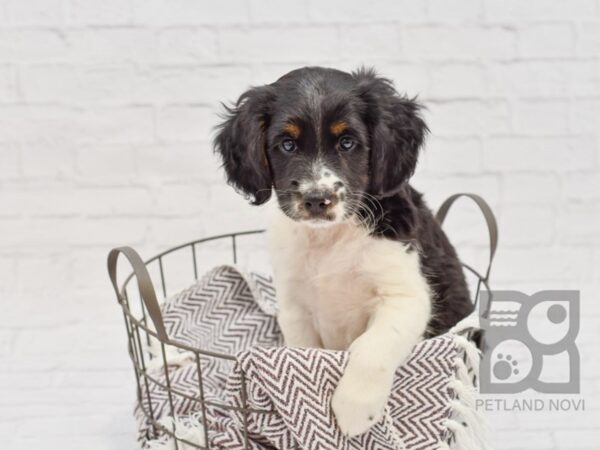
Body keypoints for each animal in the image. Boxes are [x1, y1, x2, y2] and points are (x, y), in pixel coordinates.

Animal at [213, 67, 472, 436]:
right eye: (287, 144)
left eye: (347, 142)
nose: (317, 199)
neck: (330, 239)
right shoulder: (294, 305)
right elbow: (302, 354)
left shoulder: (406, 296)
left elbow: (373, 346)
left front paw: (353, 408)